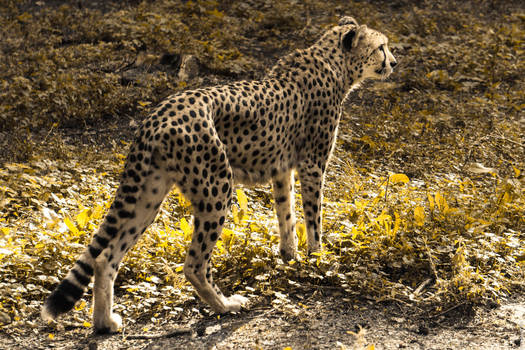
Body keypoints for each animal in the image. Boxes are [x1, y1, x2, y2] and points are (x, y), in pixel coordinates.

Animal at [42, 17, 392, 334]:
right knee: (195, 263)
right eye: (381, 47)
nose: (395, 62)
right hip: (217, 187)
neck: (332, 61)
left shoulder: (282, 169)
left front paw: (289, 257)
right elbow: (313, 217)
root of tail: (157, 116)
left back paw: (104, 323)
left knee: (106, 258)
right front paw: (319, 259)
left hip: (149, 194)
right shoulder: (312, 165)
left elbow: (287, 216)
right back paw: (225, 305)